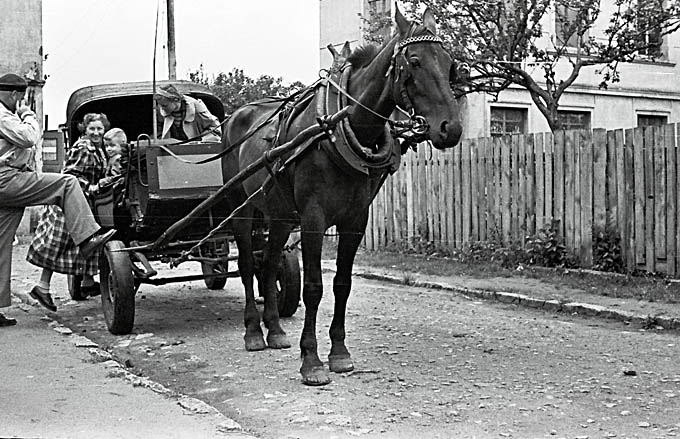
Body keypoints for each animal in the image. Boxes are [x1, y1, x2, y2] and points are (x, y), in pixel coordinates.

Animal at [220, 6, 464, 384]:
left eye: (449, 62)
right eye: (414, 61)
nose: (450, 129)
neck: (338, 127)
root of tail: (236, 116)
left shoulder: (355, 219)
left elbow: (342, 285)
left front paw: (339, 353)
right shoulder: (313, 219)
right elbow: (314, 287)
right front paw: (311, 360)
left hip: (278, 214)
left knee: (270, 262)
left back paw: (274, 330)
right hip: (241, 209)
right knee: (248, 264)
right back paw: (252, 333)